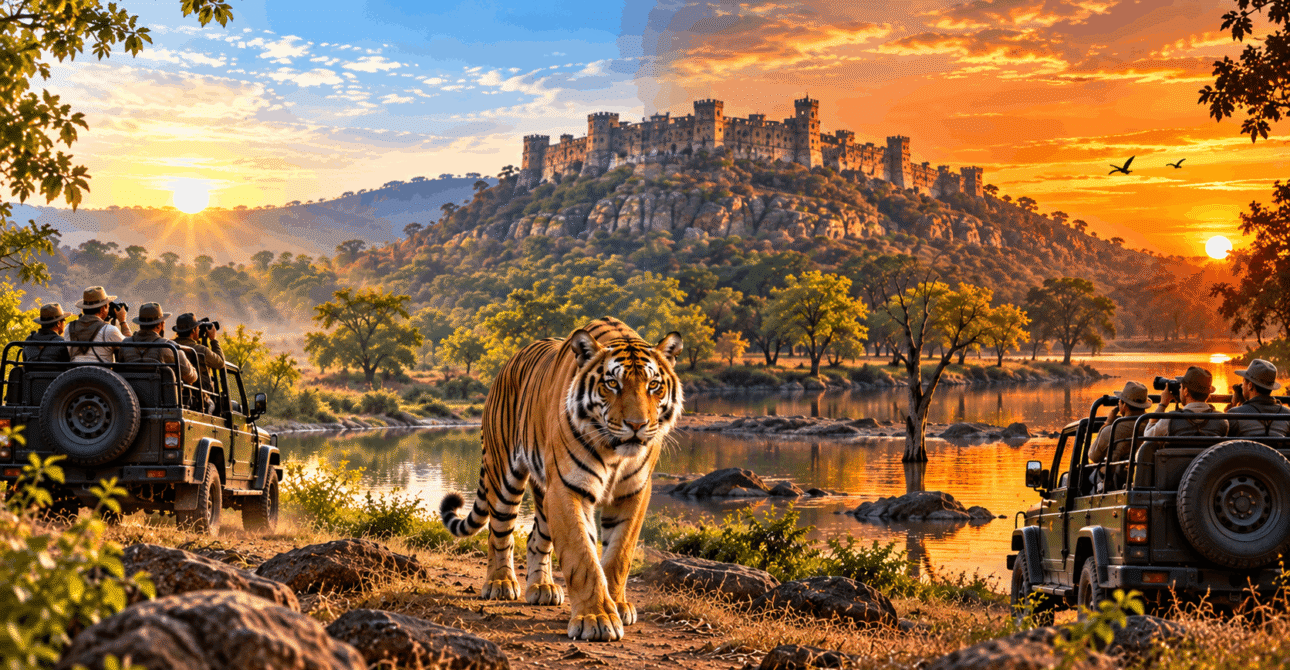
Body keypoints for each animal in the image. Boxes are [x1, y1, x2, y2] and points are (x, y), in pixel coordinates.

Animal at [439, 316, 683, 642]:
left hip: (544, 495)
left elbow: (619, 554)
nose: (637, 425)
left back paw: (542, 587)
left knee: (535, 538)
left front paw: (617, 605)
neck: (615, 454)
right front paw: (597, 618)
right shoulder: (569, 488)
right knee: (499, 532)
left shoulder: (633, 493)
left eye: (653, 385)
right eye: (612, 384)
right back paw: (500, 583)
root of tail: (510, 362)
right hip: (504, 475)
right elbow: (583, 556)